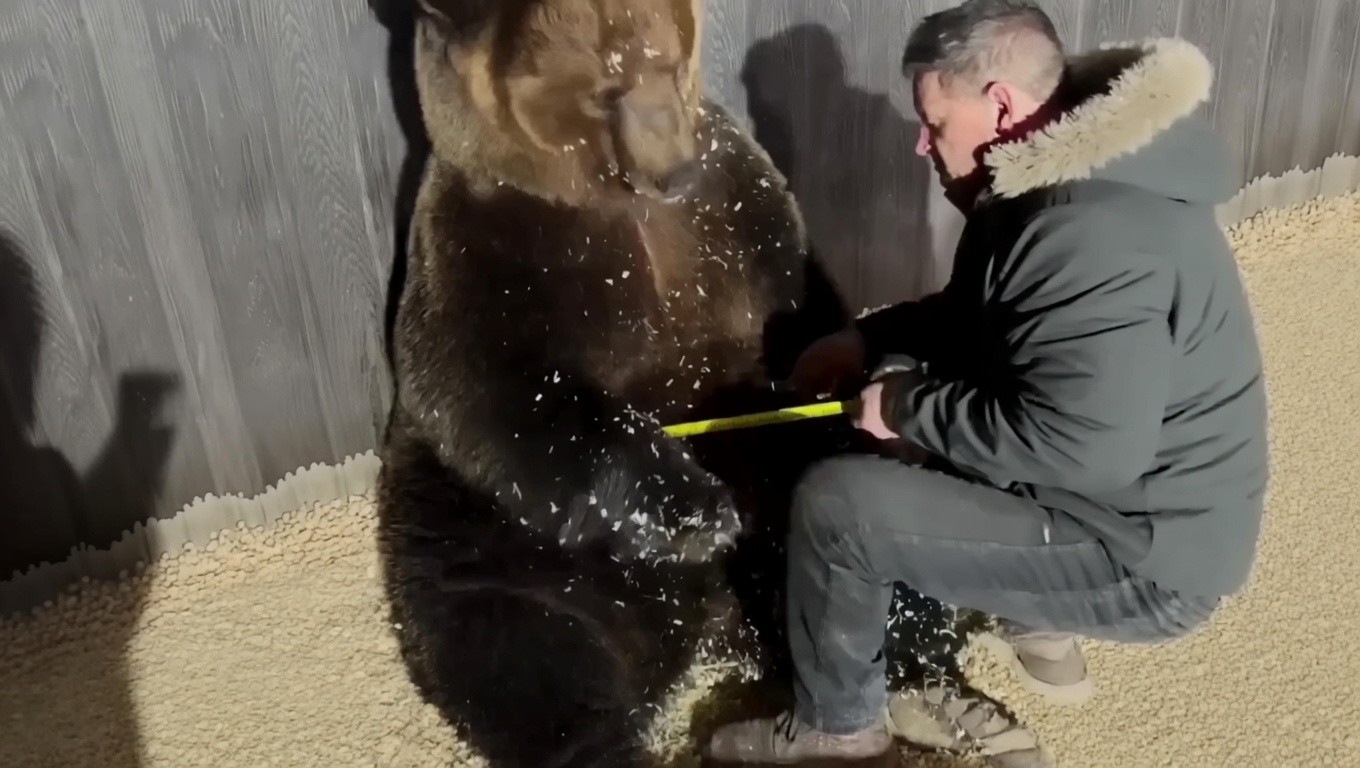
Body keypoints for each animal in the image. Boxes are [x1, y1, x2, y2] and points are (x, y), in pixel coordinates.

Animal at [373, 0, 974, 766]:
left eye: (669, 58)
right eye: (605, 88)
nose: (674, 169)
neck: (614, 198)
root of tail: (706, 617)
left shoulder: (736, 205)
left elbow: (803, 316)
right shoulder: (487, 245)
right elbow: (498, 391)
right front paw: (694, 507)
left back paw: (927, 686)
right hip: (484, 536)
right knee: (522, 647)